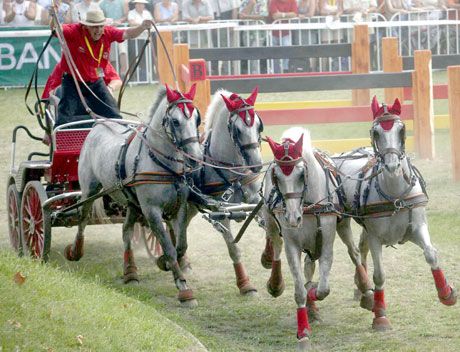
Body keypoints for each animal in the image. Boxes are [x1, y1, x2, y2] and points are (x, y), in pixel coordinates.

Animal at [183, 87, 264, 294]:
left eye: (258, 125)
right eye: (237, 129)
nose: (257, 164)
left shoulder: (254, 199)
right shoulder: (221, 210)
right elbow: (233, 248)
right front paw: (245, 284)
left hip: (192, 206)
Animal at [260, 127, 340, 350]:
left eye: (301, 174)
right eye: (276, 176)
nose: (292, 217)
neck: (309, 205)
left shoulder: (327, 243)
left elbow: (323, 288)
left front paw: (313, 292)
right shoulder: (293, 246)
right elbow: (298, 291)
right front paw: (303, 332)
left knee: (310, 265)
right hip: (271, 221)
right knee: (276, 244)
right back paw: (275, 282)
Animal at [334, 97, 456, 330]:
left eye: (402, 130)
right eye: (376, 132)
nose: (391, 165)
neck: (395, 194)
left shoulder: (417, 228)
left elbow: (431, 254)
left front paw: (446, 294)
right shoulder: (376, 237)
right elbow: (379, 274)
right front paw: (380, 315)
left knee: (361, 248)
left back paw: (361, 290)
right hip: (343, 221)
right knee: (355, 251)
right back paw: (364, 288)